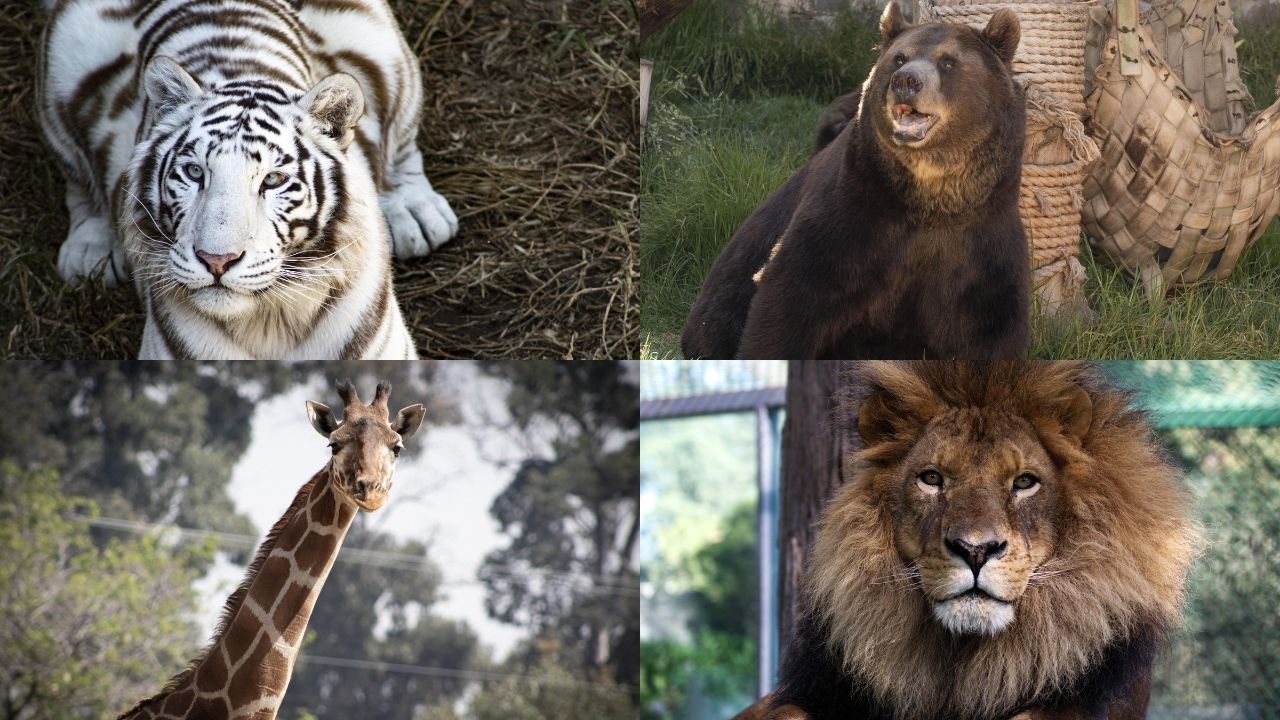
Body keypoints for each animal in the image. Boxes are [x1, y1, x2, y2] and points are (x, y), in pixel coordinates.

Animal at [679, 2, 1029, 360]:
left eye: (948, 61)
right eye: (899, 58)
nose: (906, 80)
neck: (930, 199)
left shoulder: (981, 244)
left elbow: (991, 328)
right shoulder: (852, 213)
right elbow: (791, 296)